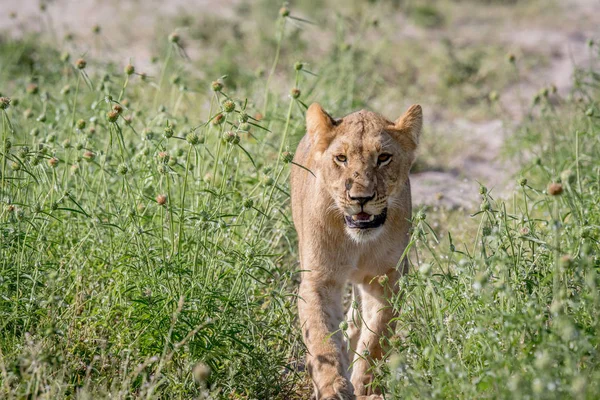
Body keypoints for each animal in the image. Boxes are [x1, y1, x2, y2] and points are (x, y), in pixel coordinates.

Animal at [290, 101, 422, 398]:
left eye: (384, 157)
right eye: (341, 158)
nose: (360, 198)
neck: (357, 242)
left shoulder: (387, 279)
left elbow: (376, 338)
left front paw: (364, 388)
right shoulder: (319, 279)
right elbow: (321, 338)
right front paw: (332, 387)